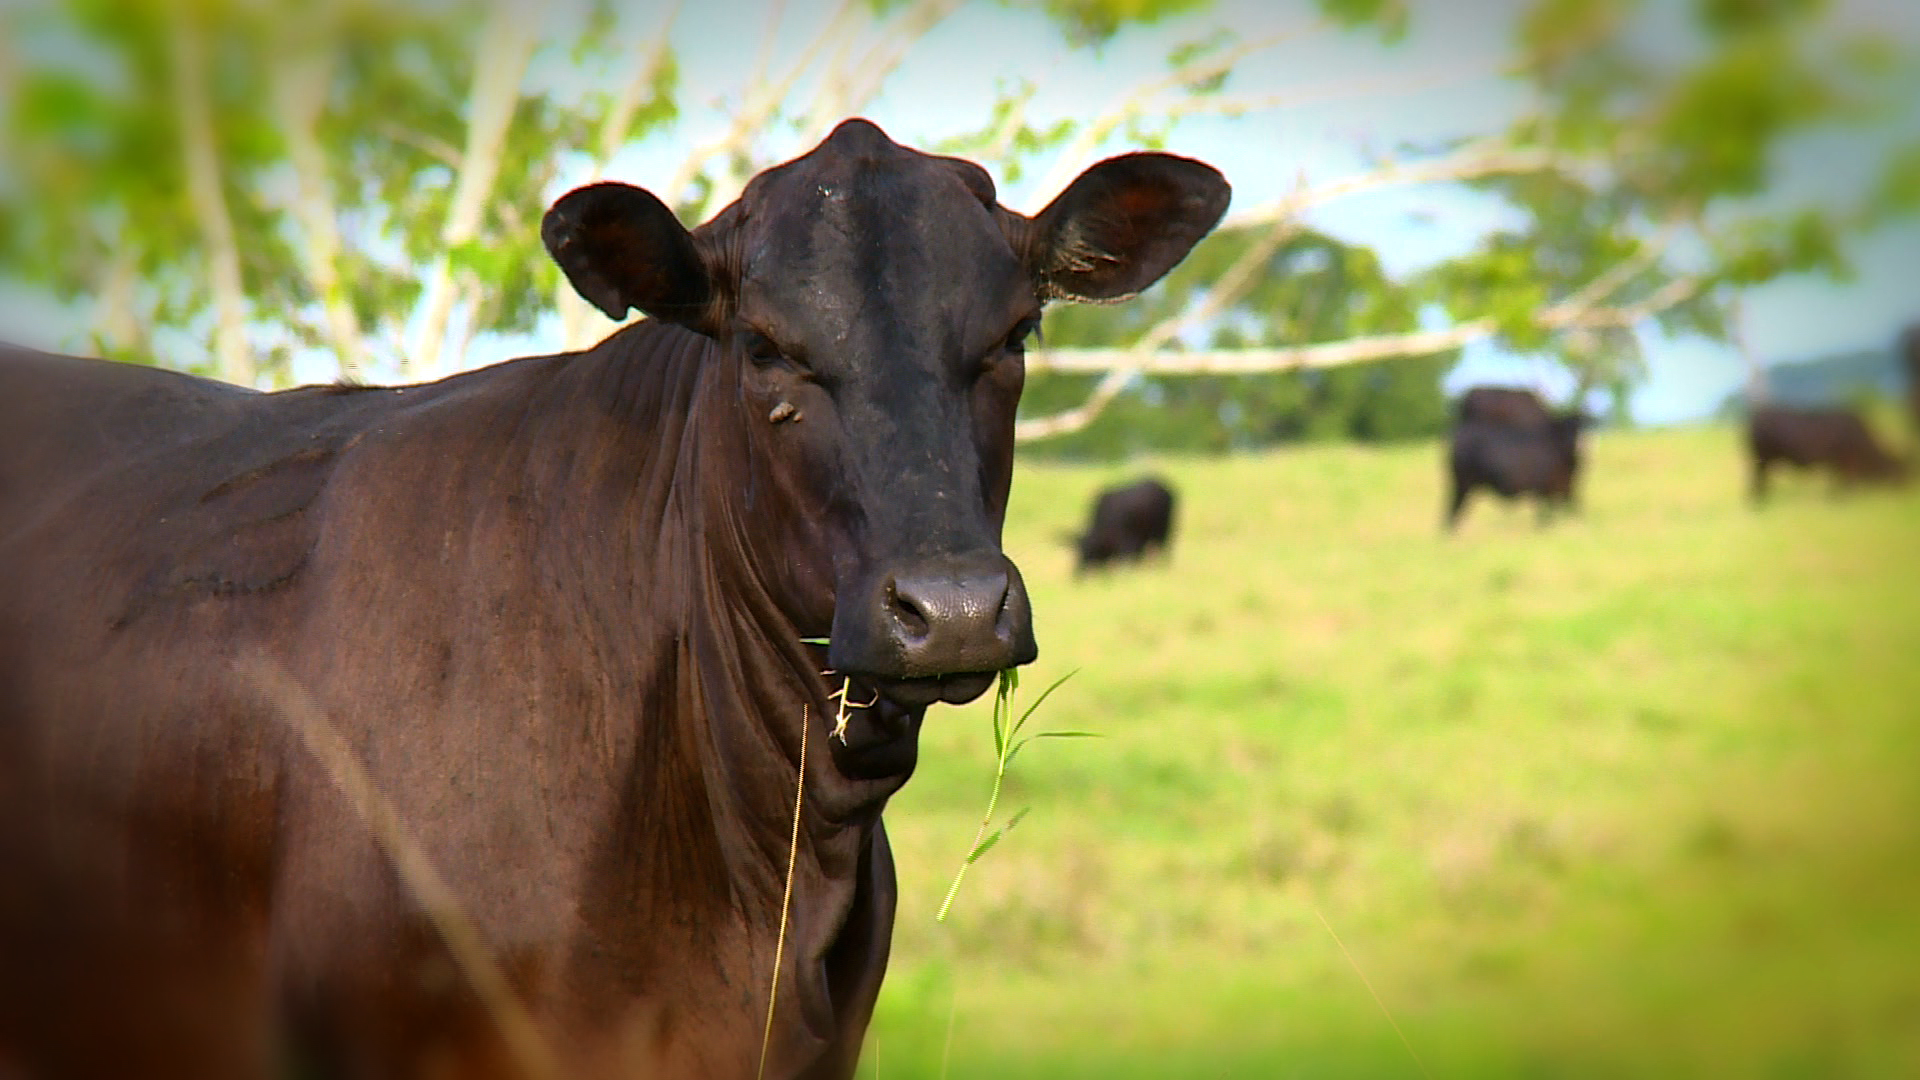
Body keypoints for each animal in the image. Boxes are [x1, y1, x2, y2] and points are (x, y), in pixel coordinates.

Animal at [1443, 411, 1589, 530]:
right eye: (1566, 429)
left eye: (1583, 427)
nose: (1580, 445)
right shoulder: (1543, 489)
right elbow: (1544, 516)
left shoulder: (1567, 487)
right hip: (1462, 481)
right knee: (1453, 508)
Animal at [1743, 401, 1904, 503]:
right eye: (1897, 471)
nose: (1903, 491)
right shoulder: (1847, 460)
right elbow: (1845, 480)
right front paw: (1841, 498)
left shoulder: (1840, 462)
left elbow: (1839, 480)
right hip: (1762, 459)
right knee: (1758, 481)